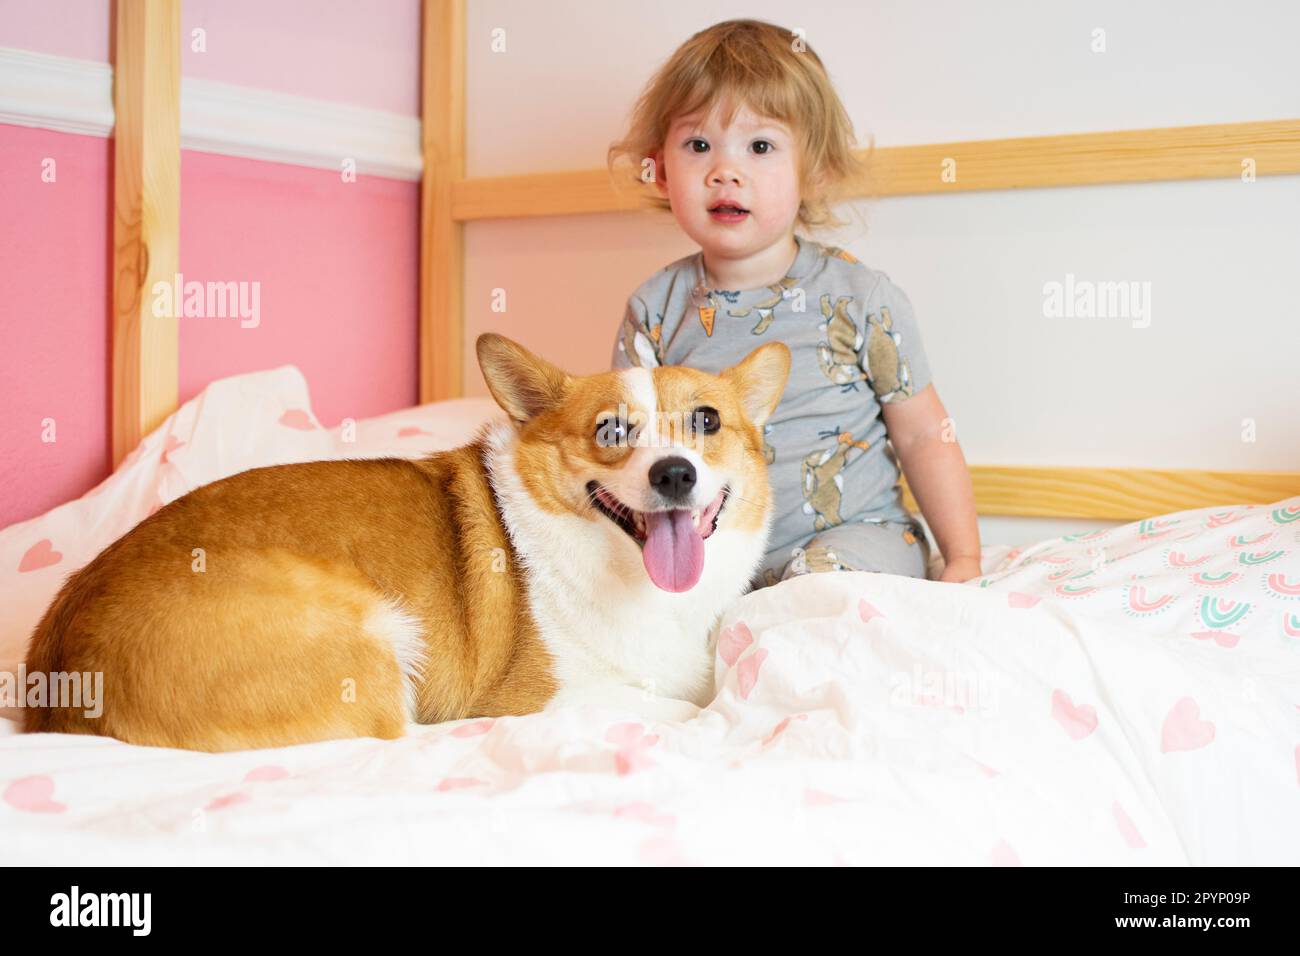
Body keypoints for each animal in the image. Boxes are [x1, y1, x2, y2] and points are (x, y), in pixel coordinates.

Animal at [22, 332, 790, 749]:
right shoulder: (552, 699)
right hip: (373, 632)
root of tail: (59, 683)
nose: (674, 473)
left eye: (707, 420)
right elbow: (679, 705)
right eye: (610, 430)